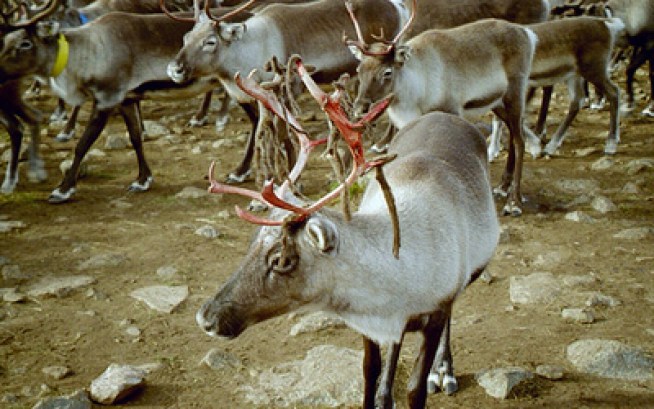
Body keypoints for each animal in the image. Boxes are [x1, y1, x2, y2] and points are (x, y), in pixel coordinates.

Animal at [0, 0, 231, 203]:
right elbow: (135, 138)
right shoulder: (126, 99)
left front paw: (63, 189)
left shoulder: (106, 100)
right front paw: (142, 180)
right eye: (5, 41)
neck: (87, 52)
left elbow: (82, 145)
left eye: (25, 43)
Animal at [196, 57, 500, 409]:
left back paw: (445, 372)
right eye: (251, 245)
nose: (206, 317)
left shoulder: (436, 310)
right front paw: (379, 391)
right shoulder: (370, 322)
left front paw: (430, 377)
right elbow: (369, 370)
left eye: (282, 259)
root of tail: (444, 115)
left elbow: (415, 388)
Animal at [348, 0, 538, 217]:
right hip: (497, 102)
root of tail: (527, 34)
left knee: (520, 140)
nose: (359, 107)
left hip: (515, 92)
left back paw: (513, 201)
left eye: (387, 72)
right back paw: (503, 186)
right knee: (513, 135)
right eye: (359, 69)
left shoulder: (451, 109)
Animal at [488, 15, 625, 159]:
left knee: (614, 91)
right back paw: (551, 146)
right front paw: (493, 151)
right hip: (574, 74)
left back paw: (610, 145)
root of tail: (606, 24)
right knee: (577, 101)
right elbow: (499, 116)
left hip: (593, 69)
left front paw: (534, 147)